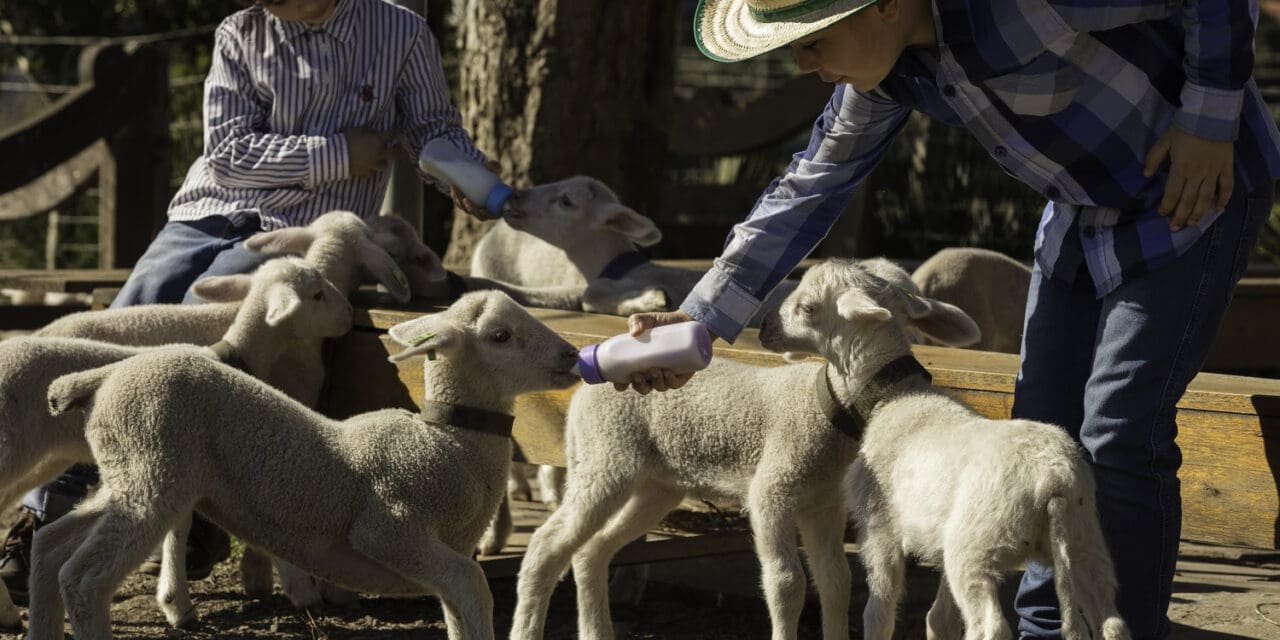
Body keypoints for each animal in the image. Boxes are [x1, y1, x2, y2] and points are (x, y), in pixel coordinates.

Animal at [0, 257, 353, 627]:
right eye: (316, 294)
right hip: (11, 445)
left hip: (42, 457)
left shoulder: (182, 463)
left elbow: (179, 526)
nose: (349, 314)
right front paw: (300, 590)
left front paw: (175, 601)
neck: (233, 353)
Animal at [30, 293, 581, 640]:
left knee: (49, 546)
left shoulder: (441, 552)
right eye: (501, 335)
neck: (450, 443)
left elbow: (459, 607)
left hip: (124, 472)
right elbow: (473, 586)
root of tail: (106, 377)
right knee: (83, 579)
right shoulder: (389, 530)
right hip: (150, 474)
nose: (572, 355)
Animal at [509, 258, 967, 640]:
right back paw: (527, 627)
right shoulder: (772, 491)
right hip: (604, 459)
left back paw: (596, 631)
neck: (828, 407)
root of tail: (586, 387)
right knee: (547, 545)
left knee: (592, 550)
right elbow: (786, 583)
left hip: (653, 485)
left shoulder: (822, 503)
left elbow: (836, 582)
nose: (765, 327)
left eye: (807, 308)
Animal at [752, 257, 1126, 640]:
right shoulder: (940, 533)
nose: (765, 327)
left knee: (990, 625)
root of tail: (1054, 480)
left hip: (977, 543)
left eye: (808, 308)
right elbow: (940, 618)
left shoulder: (880, 526)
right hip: (1083, 539)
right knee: (1111, 620)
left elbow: (878, 613)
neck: (895, 396)